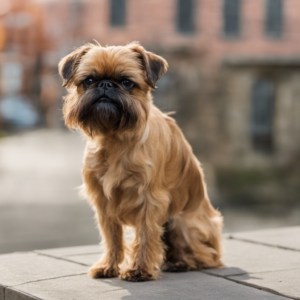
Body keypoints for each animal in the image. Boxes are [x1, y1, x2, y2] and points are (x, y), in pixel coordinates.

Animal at [58, 40, 223, 282]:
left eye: (127, 82)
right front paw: (109, 266)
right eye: (88, 80)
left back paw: (180, 263)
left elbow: (146, 235)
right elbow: (112, 237)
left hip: (182, 222)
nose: (105, 84)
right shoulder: (104, 202)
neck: (115, 139)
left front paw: (139, 270)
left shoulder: (149, 199)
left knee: (207, 256)